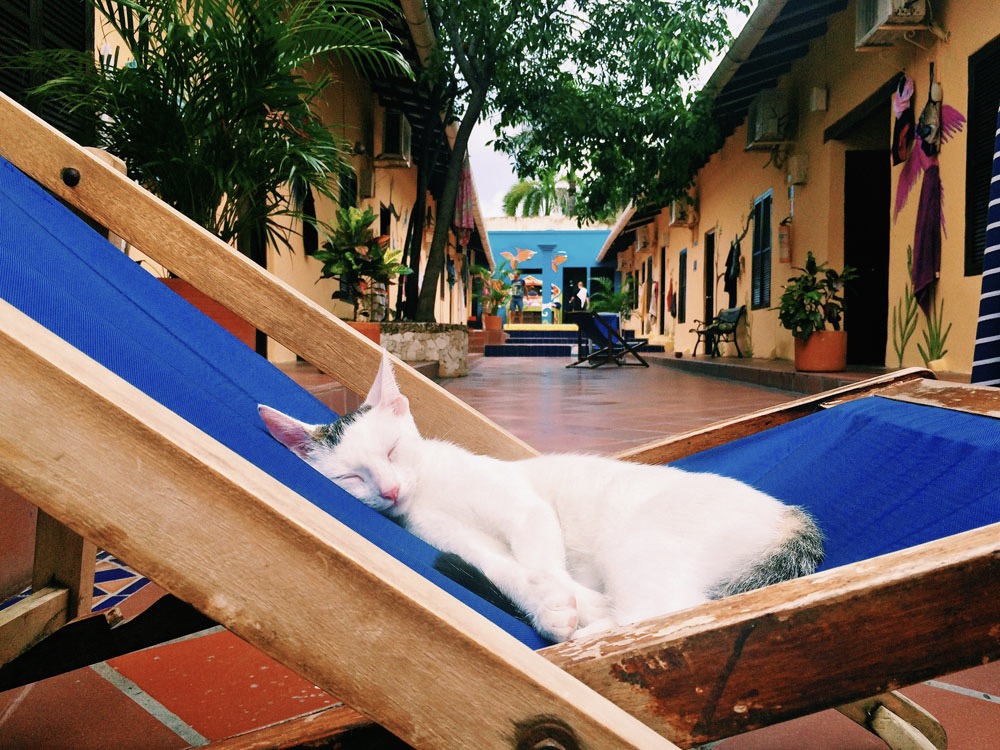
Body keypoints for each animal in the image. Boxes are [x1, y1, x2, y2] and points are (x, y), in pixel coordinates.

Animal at [262, 356, 824, 644]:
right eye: (352, 477)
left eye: (392, 450)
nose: (391, 490)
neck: (430, 492)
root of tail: (791, 516)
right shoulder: (451, 539)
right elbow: (506, 571)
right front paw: (547, 609)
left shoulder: (523, 507)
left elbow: (540, 560)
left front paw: (565, 601)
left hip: (641, 538)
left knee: (663, 611)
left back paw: (590, 631)